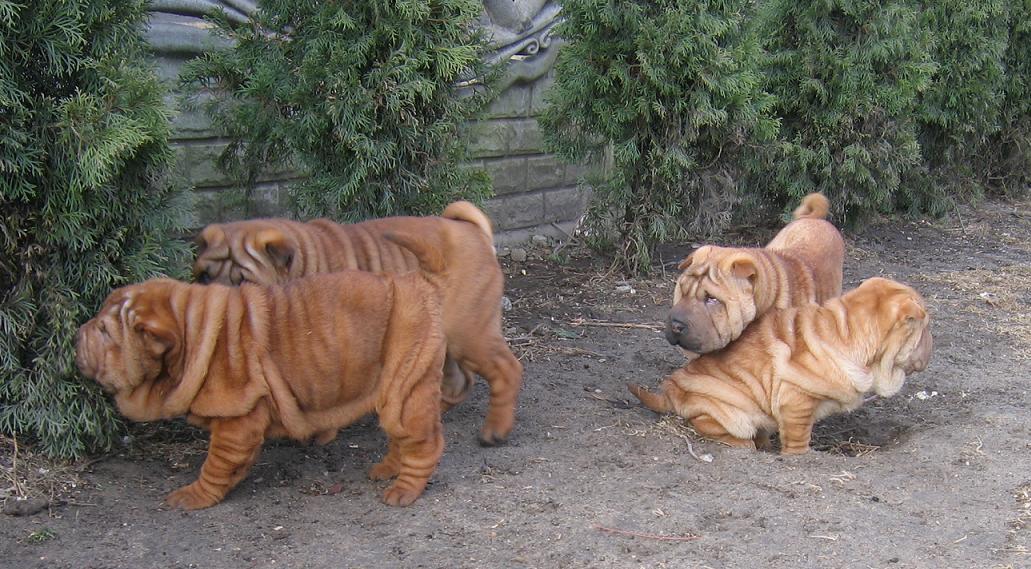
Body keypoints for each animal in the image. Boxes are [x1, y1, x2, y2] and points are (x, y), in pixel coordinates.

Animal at [78, 268, 449, 509]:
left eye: (105, 332)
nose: (78, 333)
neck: (193, 335)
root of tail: (418, 284)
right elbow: (229, 466)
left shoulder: (236, 423)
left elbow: (215, 465)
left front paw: (193, 497)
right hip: (393, 392)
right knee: (398, 433)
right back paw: (387, 468)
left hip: (407, 382)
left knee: (422, 442)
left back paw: (404, 490)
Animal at [191, 199, 523, 445]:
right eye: (203, 276)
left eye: (245, 283)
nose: (216, 305)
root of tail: (469, 228)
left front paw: (320, 432)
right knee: (459, 381)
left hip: (469, 333)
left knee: (506, 369)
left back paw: (495, 429)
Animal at [626, 278, 936, 455]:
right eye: (926, 327)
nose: (933, 343)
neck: (847, 329)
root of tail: (669, 391)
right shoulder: (795, 402)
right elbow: (798, 439)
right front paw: (799, 456)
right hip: (730, 412)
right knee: (711, 425)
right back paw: (748, 445)